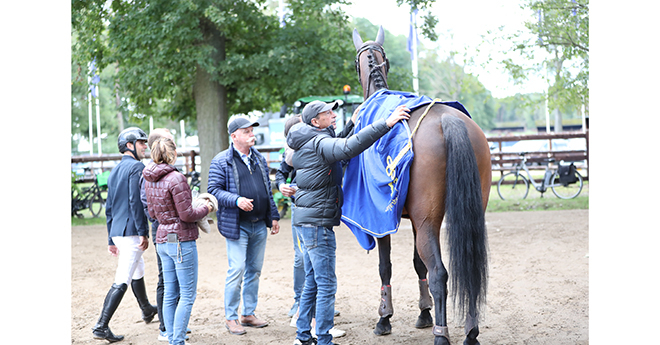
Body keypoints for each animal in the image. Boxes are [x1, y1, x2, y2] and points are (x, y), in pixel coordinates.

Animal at [350, 26, 490, 344]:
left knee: (439, 272)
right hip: (464, 214)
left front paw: (384, 317)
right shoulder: (418, 220)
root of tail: (449, 119)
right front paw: (424, 312)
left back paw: (442, 335)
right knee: (470, 268)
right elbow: (417, 264)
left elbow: (386, 266)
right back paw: (470, 332)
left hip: (428, 221)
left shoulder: (384, 221)